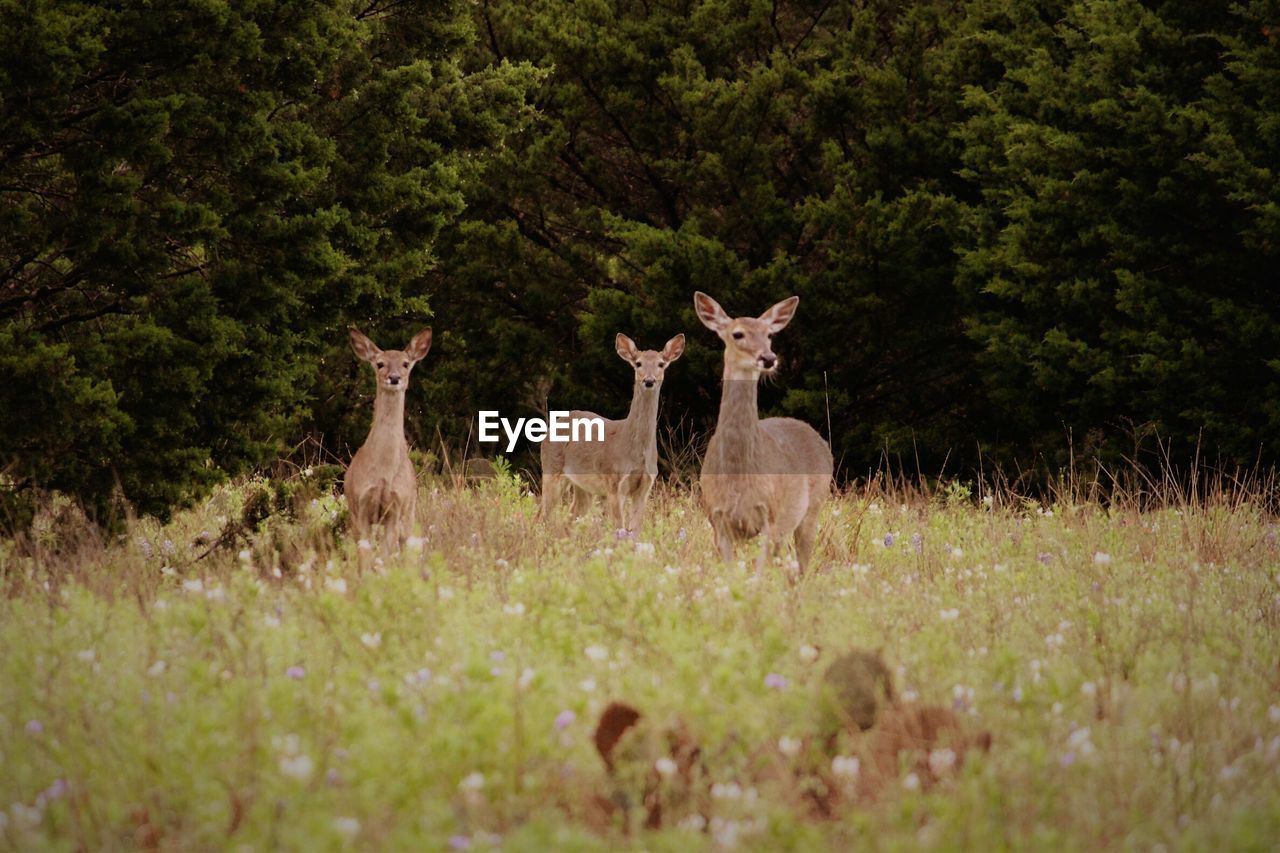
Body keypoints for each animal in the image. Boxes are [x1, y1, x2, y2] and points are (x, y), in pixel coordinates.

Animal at [343, 325, 432, 563]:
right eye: (380, 363)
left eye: (405, 363)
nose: (394, 378)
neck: (383, 472)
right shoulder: (361, 506)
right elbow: (365, 557)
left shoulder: (396, 507)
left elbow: (385, 556)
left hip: (410, 512)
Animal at [540, 333, 686, 532]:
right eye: (638, 363)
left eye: (661, 364)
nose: (649, 381)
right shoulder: (614, 483)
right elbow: (619, 528)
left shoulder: (646, 486)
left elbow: (635, 531)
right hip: (551, 468)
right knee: (540, 516)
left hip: (583, 487)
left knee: (569, 519)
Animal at [696, 289, 834, 573]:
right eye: (737, 334)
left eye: (769, 334)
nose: (769, 358)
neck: (737, 475)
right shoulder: (718, 521)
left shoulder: (769, 517)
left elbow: (758, 575)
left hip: (813, 508)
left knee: (802, 564)